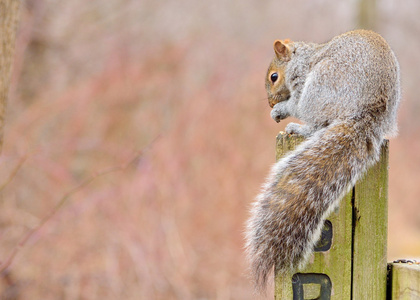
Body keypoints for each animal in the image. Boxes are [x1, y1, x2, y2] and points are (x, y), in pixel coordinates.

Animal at [246, 29, 400, 292]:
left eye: (274, 76)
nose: (270, 103)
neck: (303, 55)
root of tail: (368, 114)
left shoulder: (301, 80)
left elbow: (294, 103)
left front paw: (280, 110)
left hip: (319, 88)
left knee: (317, 122)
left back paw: (298, 128)